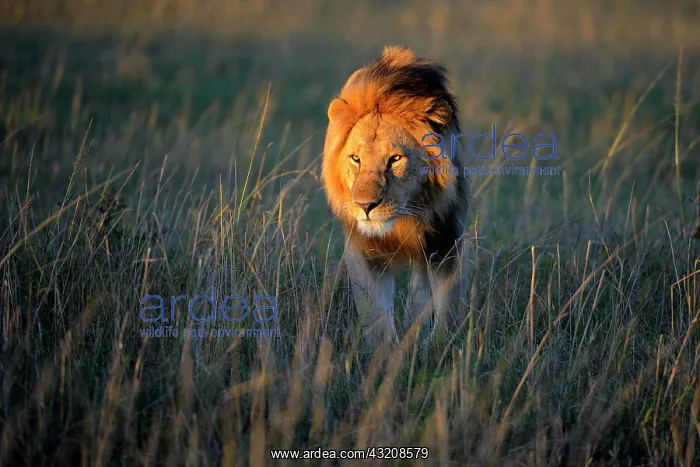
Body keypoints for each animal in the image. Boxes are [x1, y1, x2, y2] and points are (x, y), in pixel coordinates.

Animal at [321, 46, 470, 346]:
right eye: (355, 159)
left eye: (395, 159)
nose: (365, 205)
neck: (402, 221)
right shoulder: (362, 248)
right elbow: (376, 318)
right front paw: (388, 352)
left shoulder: (447, 238)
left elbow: (447, 305)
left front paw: (440, 345)